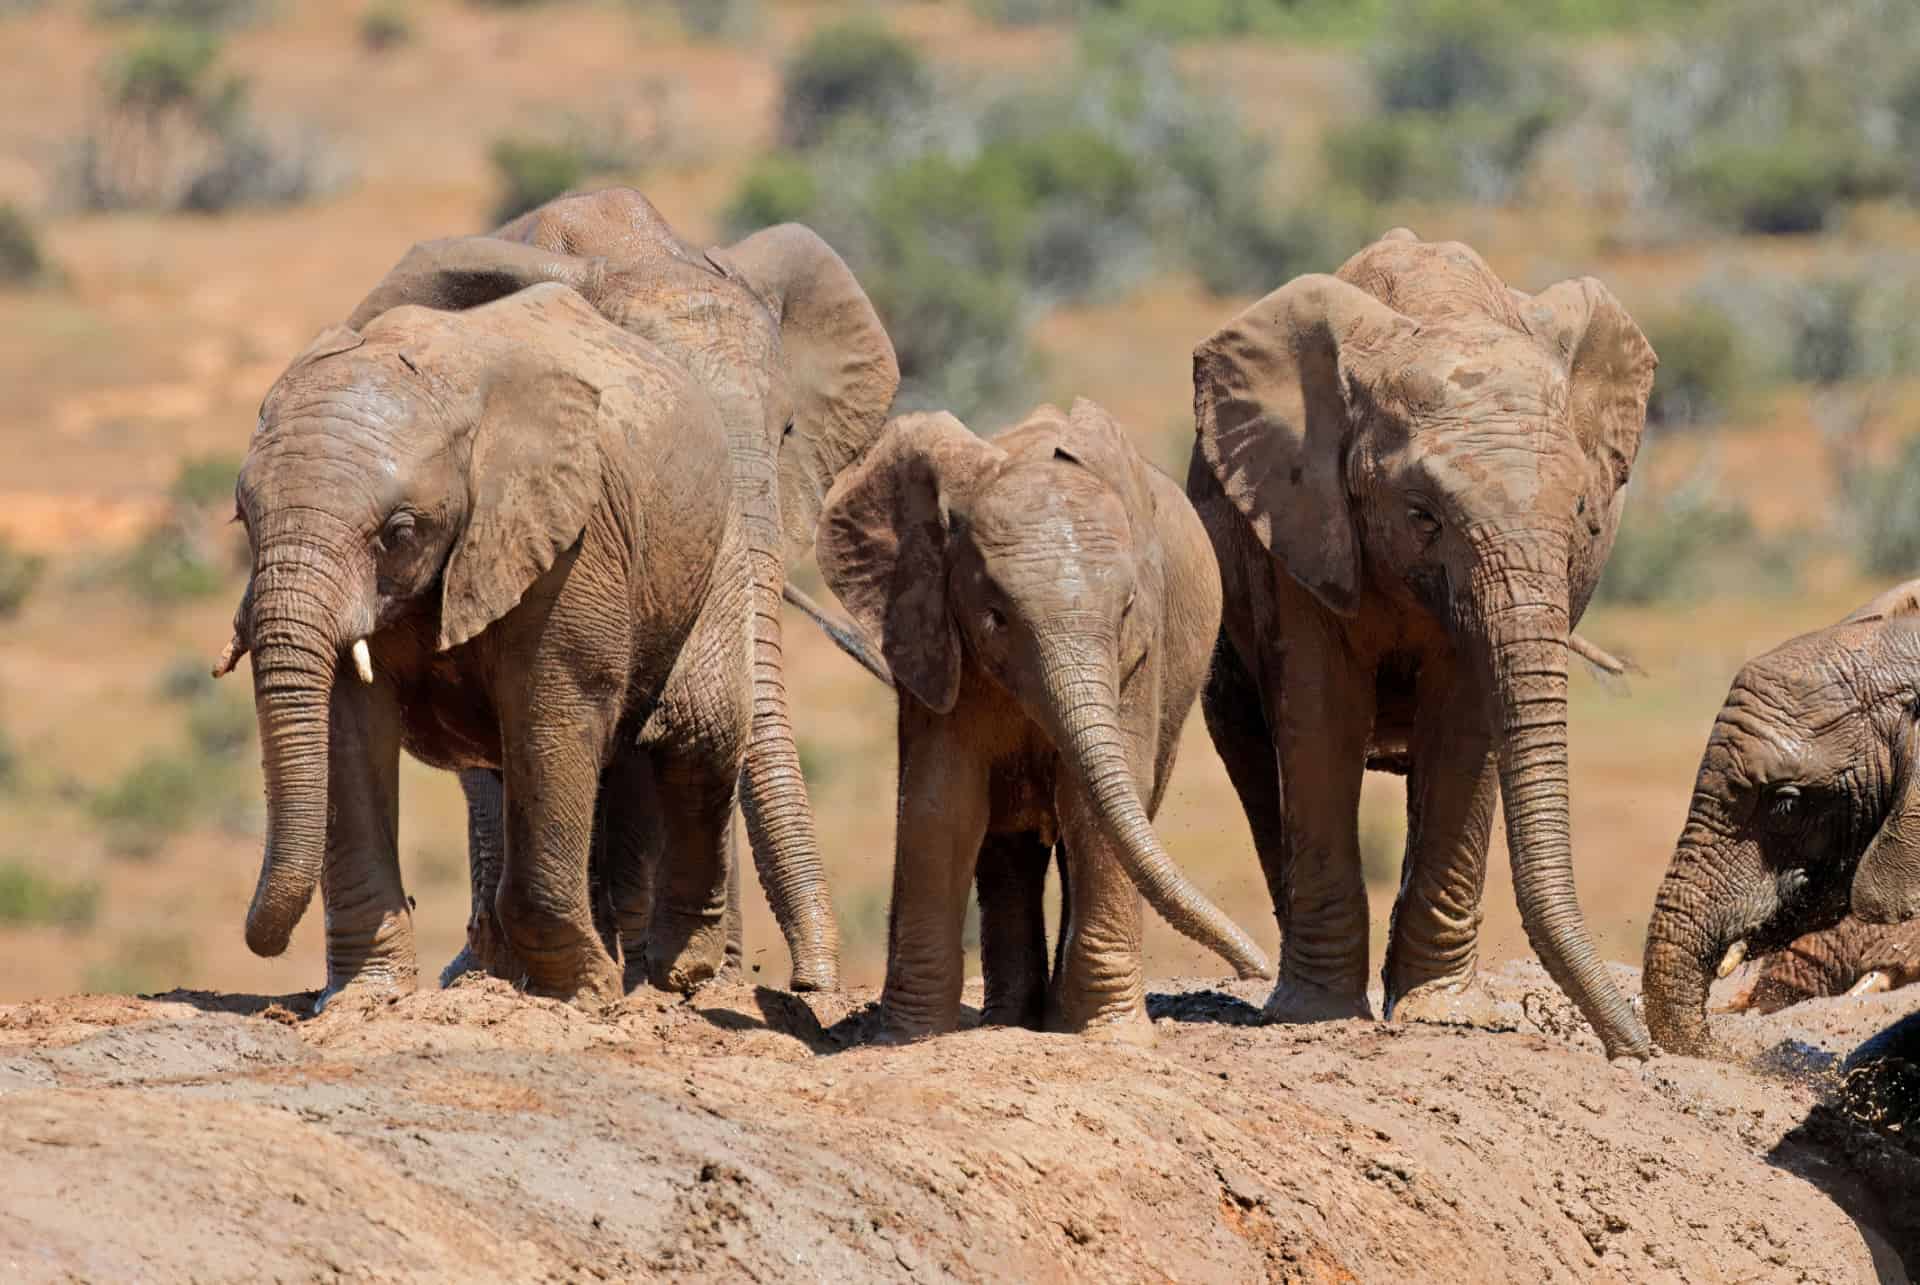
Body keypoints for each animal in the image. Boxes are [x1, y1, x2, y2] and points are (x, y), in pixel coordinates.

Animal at [222, 286, 748, 1006]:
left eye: (399, 532)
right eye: (245, 519)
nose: (261, 940)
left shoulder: (572, 532)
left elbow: (554, 704)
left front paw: (586, 989)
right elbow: (346, 727)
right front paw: (366, 995)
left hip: (715, 553)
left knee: (698, 739)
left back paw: (682, 973)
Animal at [814, 397, 1274, 1044]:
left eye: (1128, 608)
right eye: (996, 616)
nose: (1258, 968)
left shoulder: (1142, 657)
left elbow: (1091, 805)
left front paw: (1110, 1035)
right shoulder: (929, 630)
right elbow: (943, 801)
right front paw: (907, 1039)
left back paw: (1047, 1020)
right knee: (1009, 842)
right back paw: (1014, 1020)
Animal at [1175, 227, 1658, 1052]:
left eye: (1582, 514)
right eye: (1422, 513)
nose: (1639, 1048)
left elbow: (1465, 726)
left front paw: (1441, 1011)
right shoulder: (1303, 520)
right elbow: (1321, 715)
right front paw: (1320, 1014)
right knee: (1252, 755)